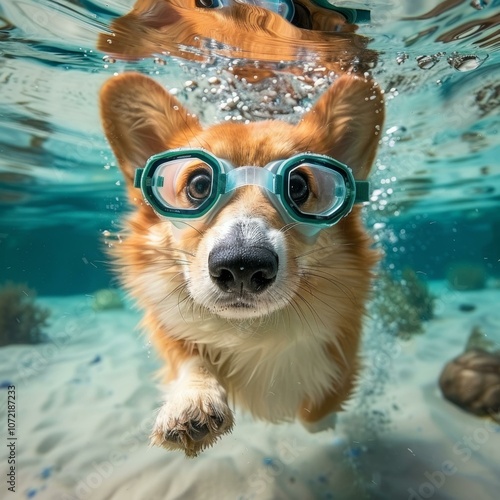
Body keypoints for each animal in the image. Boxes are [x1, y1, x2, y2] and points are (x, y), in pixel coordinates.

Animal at [99, 70, 384, 458]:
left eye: (297, 186)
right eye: (199, 185)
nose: (243, 268)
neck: (248, 329)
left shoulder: (343, 346)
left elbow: (319, 408)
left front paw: (319, 420)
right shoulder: (169, 329)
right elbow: (190, 360)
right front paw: (192, 403)